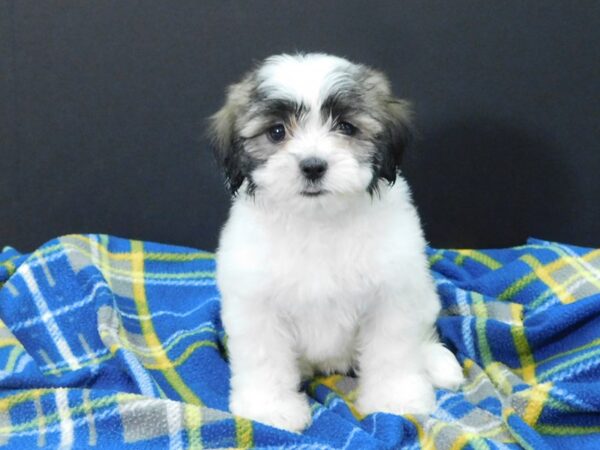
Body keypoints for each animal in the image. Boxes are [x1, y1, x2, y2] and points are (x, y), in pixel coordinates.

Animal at [210, 52, 464, 432]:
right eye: (276, 131)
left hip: (424, 295)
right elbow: (264, 357)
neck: (319, 221)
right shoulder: (255, 301)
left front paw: (395, 398)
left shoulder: (393, 294)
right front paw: (270, 409)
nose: (313, 166)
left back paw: (434, 361)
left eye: (346, 127)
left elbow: (393, 350)